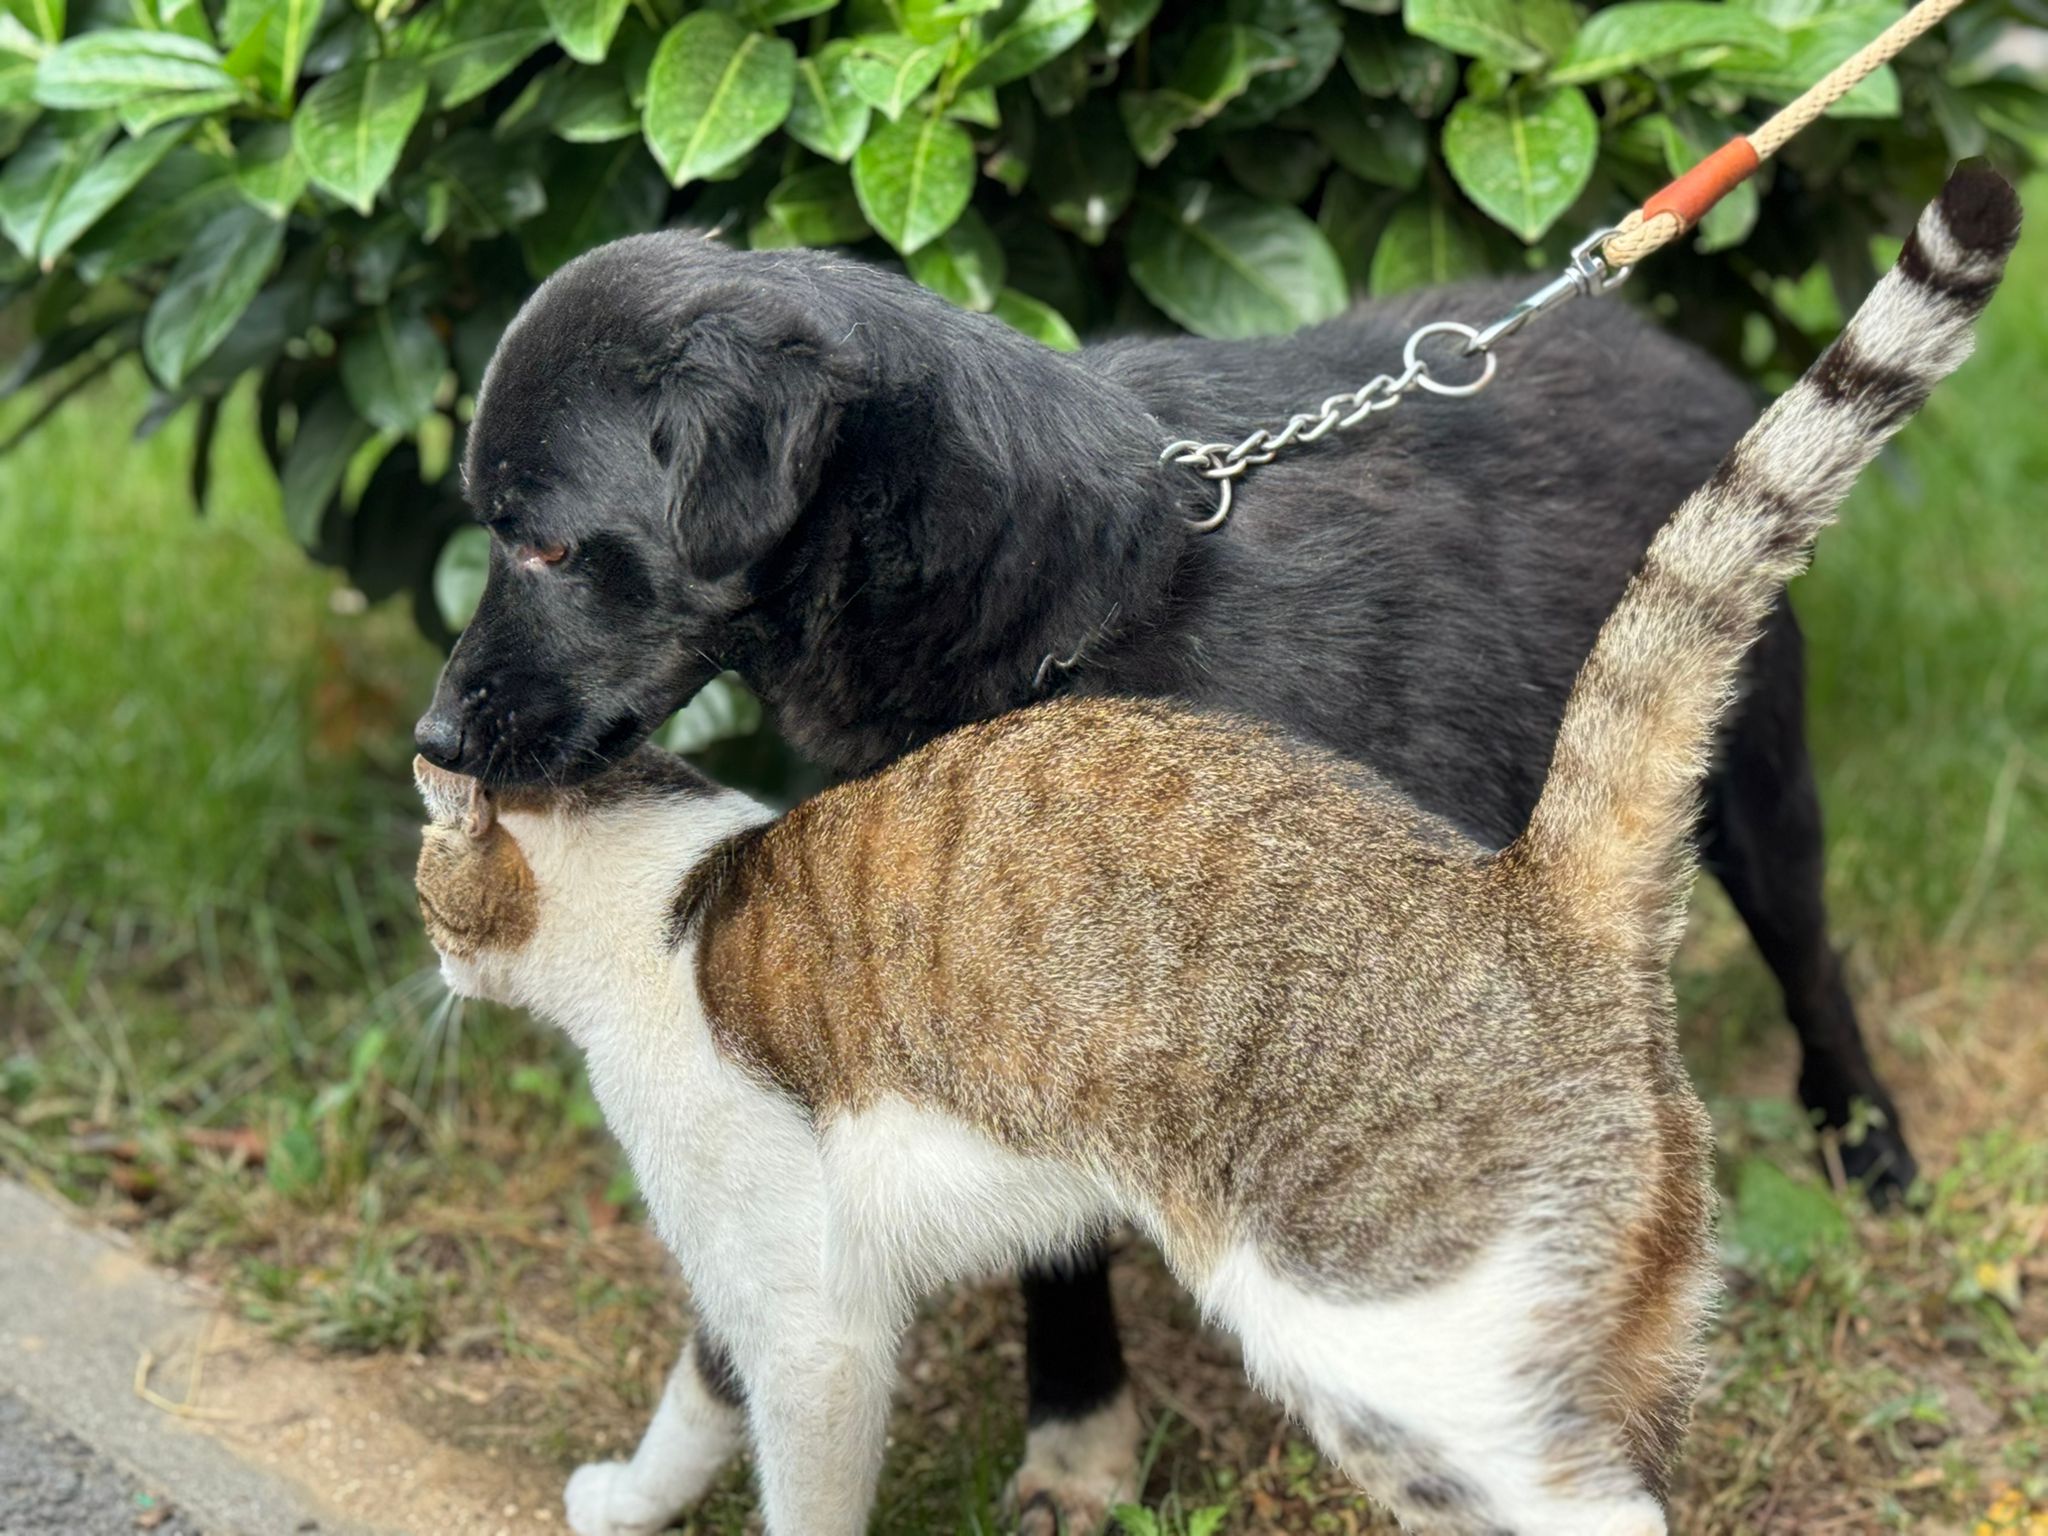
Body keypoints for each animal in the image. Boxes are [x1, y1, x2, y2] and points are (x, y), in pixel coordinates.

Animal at [411, 166, 2014, 1536]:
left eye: (544, 544)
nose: (432, 734)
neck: (1068, 588)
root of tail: (1651, 334)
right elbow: (1055, 1253)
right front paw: (1079, 1438)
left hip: (1754, 791)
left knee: (1808, 964)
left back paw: (1865, 1149)